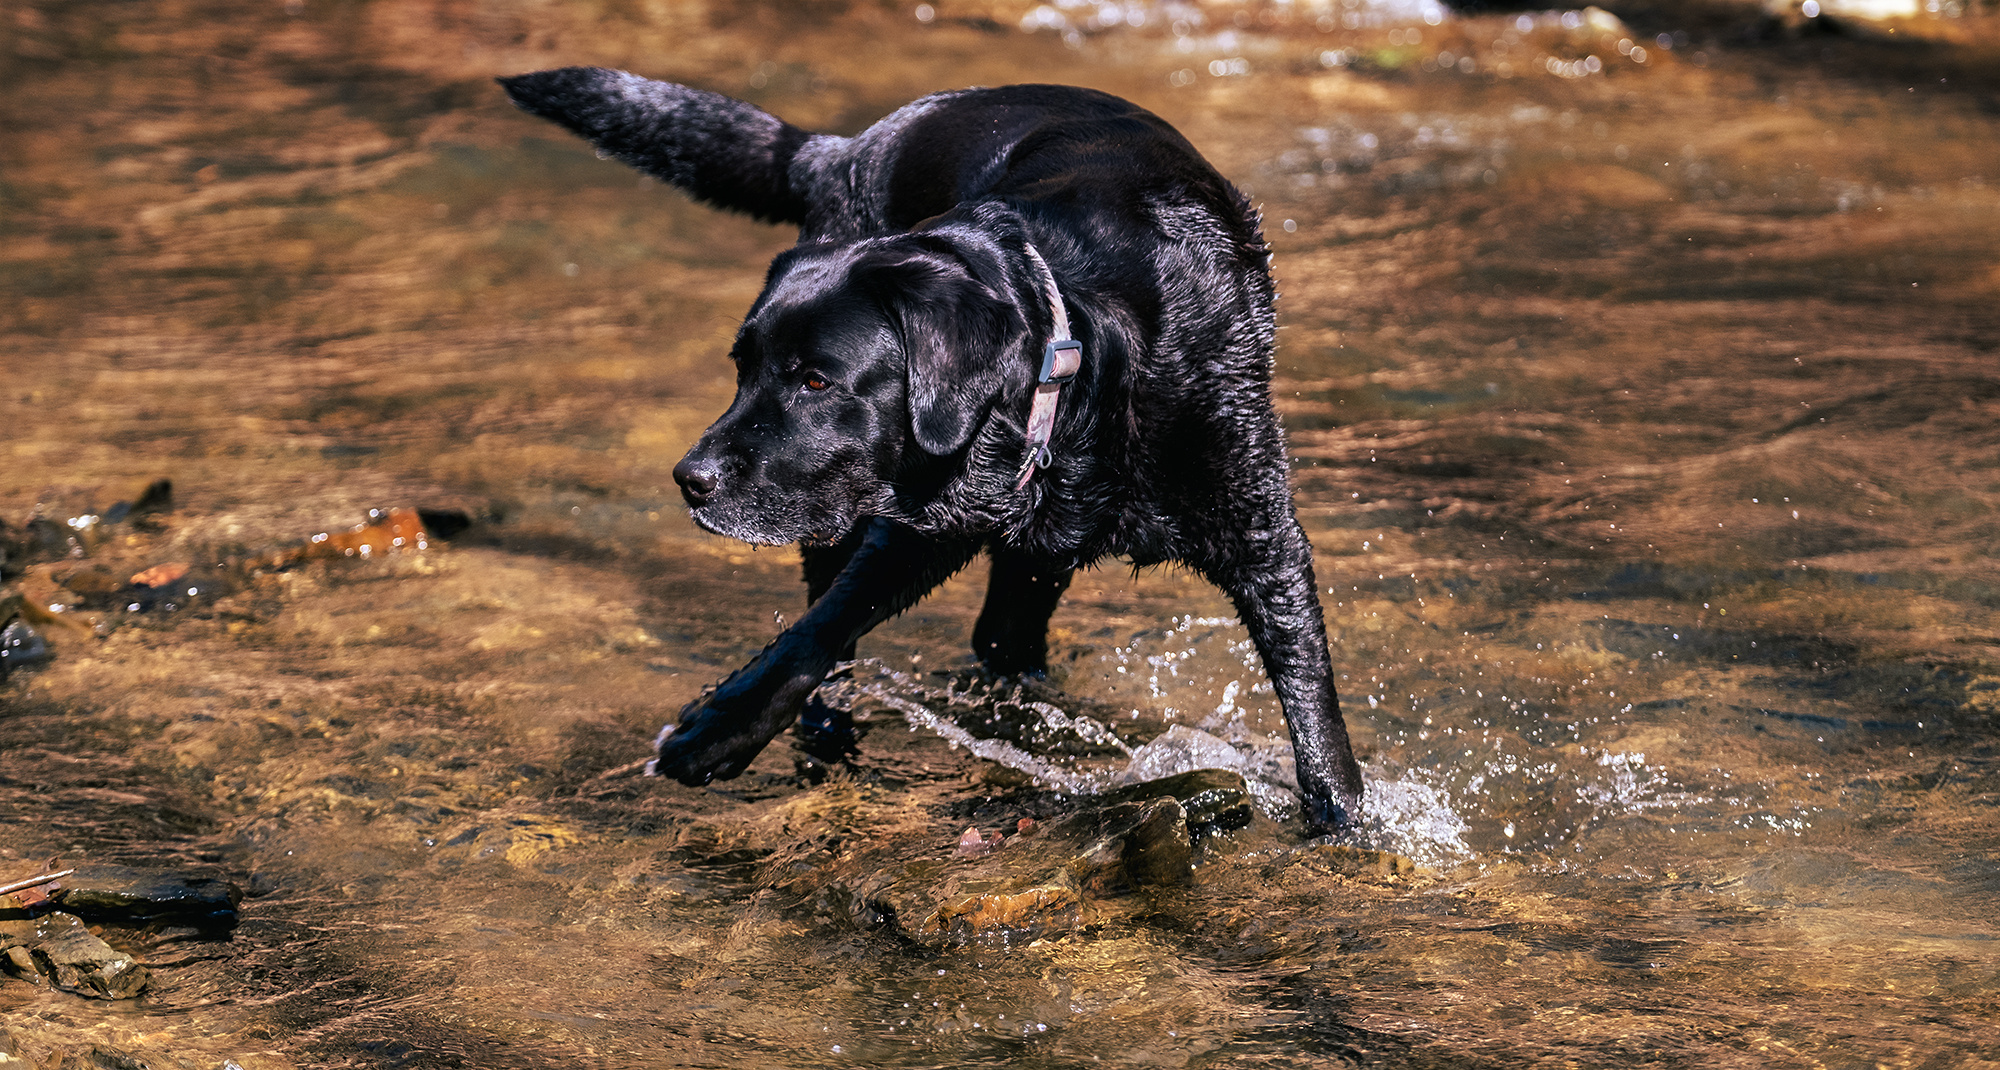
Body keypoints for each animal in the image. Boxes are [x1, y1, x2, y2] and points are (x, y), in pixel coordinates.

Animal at [504, 71, 1376, 832]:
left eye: (816, 380)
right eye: (742, 370)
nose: (691, 480)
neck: (1081, 353)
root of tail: (844, 148)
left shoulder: (1263, 535)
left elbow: (1313, 706)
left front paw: (1344, 826)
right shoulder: (919, 519)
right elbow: (816, 630)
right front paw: (717, 730)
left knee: (1001, 639)